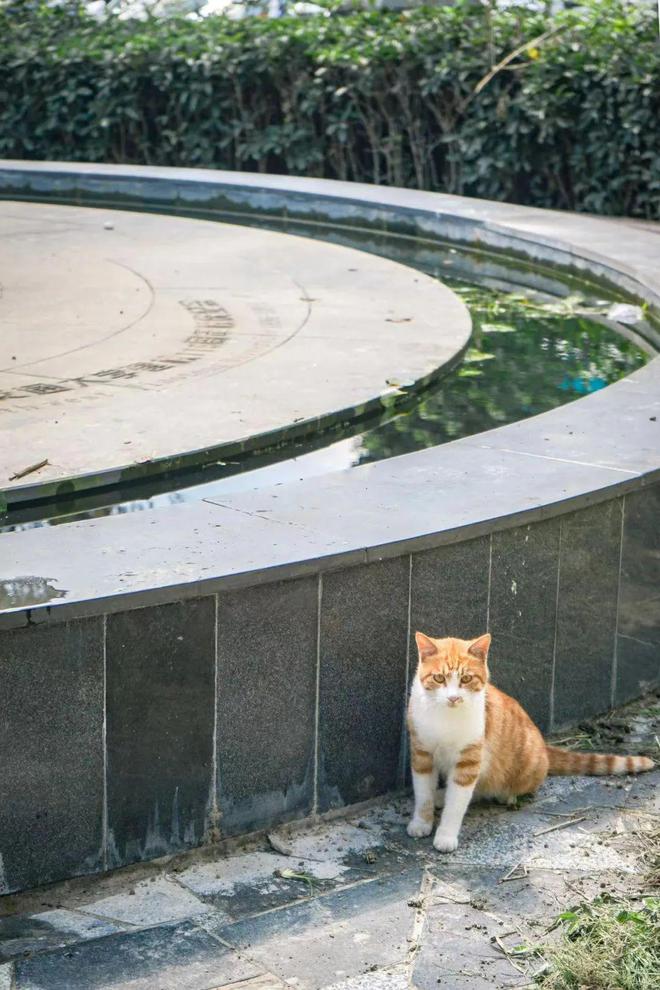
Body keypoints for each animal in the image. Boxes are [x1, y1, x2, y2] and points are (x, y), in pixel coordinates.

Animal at [408, 636, 656, 852]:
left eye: (466, 679)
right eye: (439, 679)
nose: (453, 698)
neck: (445, 717)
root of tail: (544, 746)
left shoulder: (469, 761)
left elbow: (458, 802)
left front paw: (446, 835)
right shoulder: (421, 754)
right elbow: (423, 794)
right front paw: (422, 822)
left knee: (485, 788)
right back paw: (440, 795)